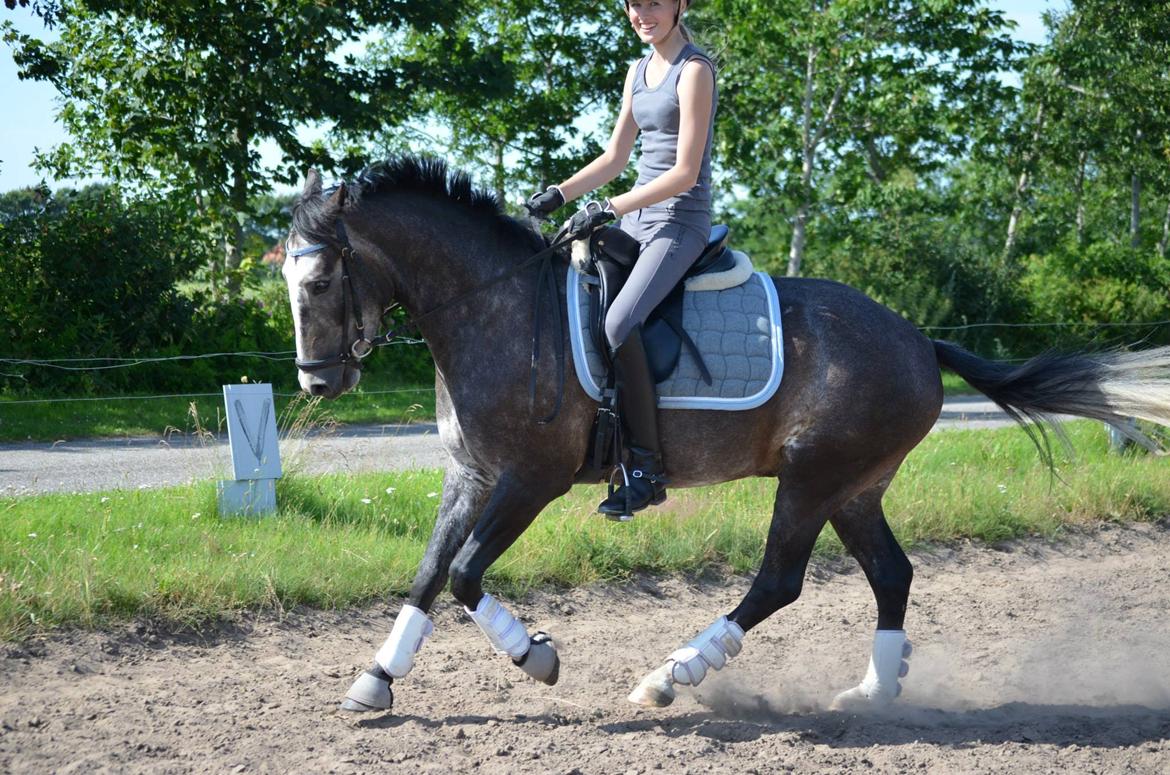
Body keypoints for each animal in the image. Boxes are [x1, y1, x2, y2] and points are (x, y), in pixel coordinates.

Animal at [280, 153, 1170, 716]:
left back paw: (670, 676)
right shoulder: (470, 474)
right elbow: (429, 572)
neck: (495, 307)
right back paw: (872, 693)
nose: (318, 383)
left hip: (812, 478)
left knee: (778, 581)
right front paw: (375, 680)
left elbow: (465, 573)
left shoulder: (530, 478)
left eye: (319, 279)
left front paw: (537, 656)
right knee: (892, 573)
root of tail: (921, 341)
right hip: (854, 486)